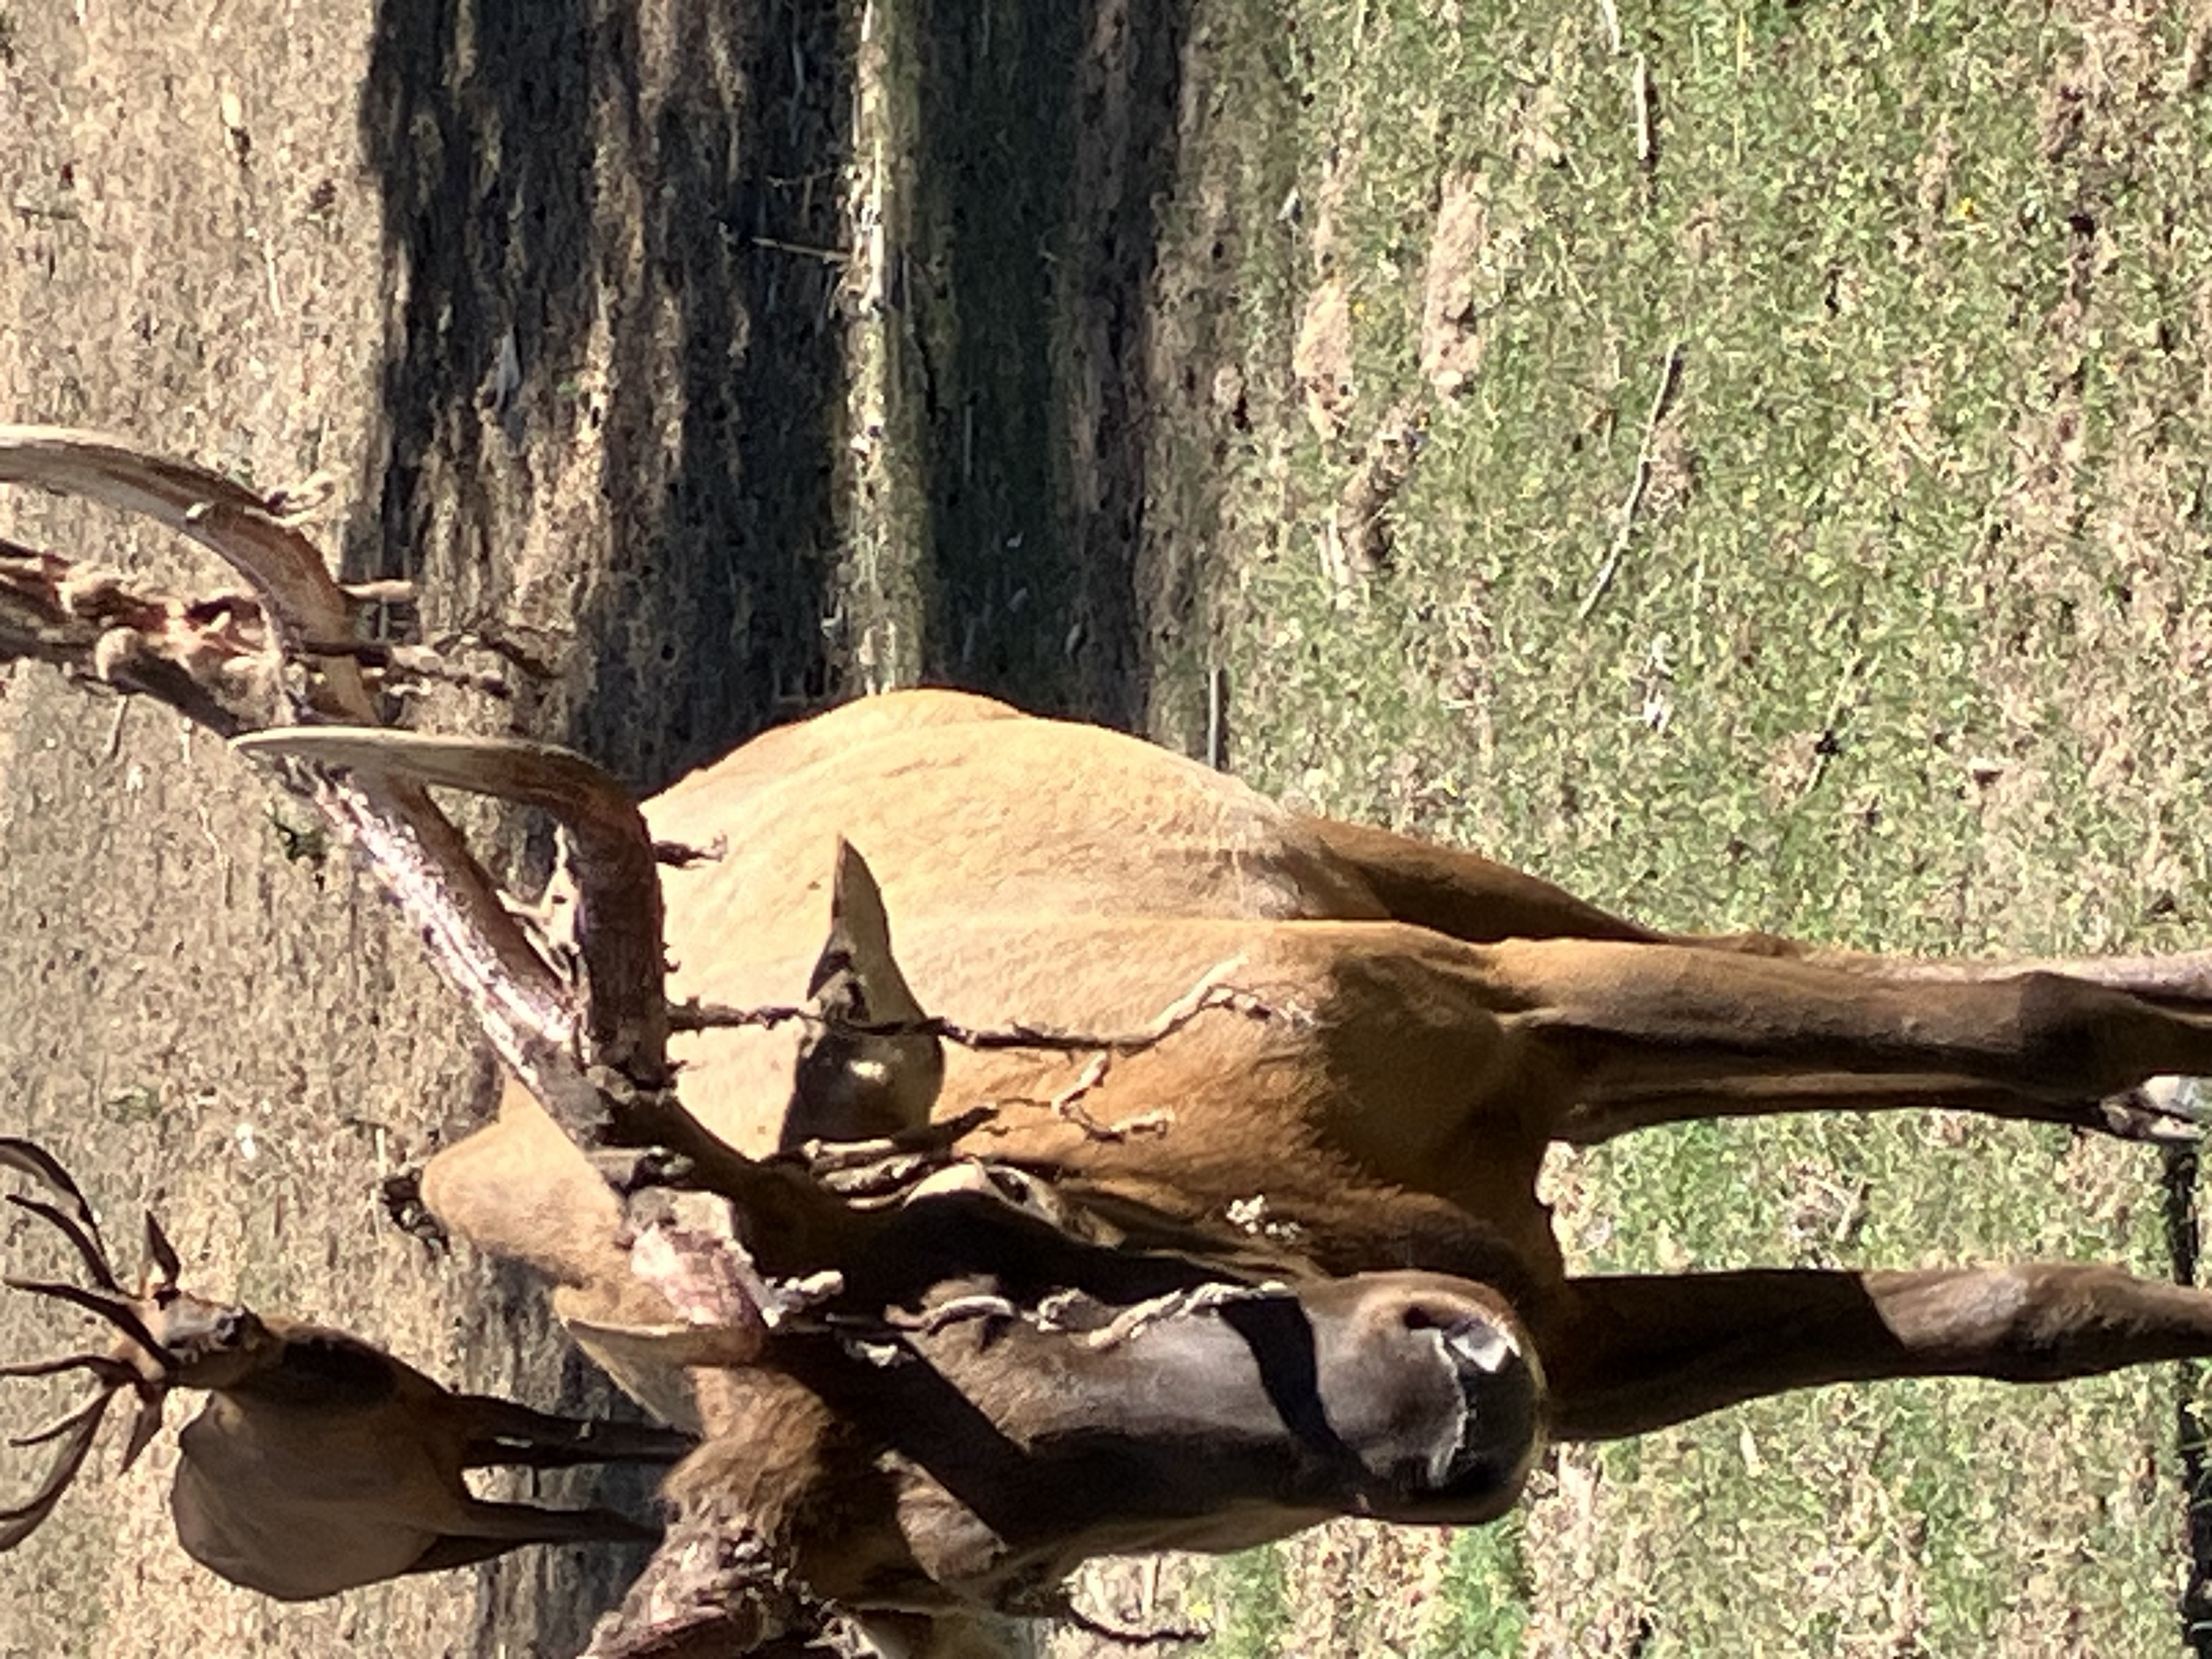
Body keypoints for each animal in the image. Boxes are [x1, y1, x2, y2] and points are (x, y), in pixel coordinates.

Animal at [0, 1136, 696, 1601]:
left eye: (169, 1294)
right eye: (165, 1367)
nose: (233, 1323)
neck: (358, 1419)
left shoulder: (448, 1408)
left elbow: (584, 1435)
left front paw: (683, 1445)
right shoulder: (440, 1513)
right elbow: (597, 1520)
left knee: (542, 1455)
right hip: (420, 1552)